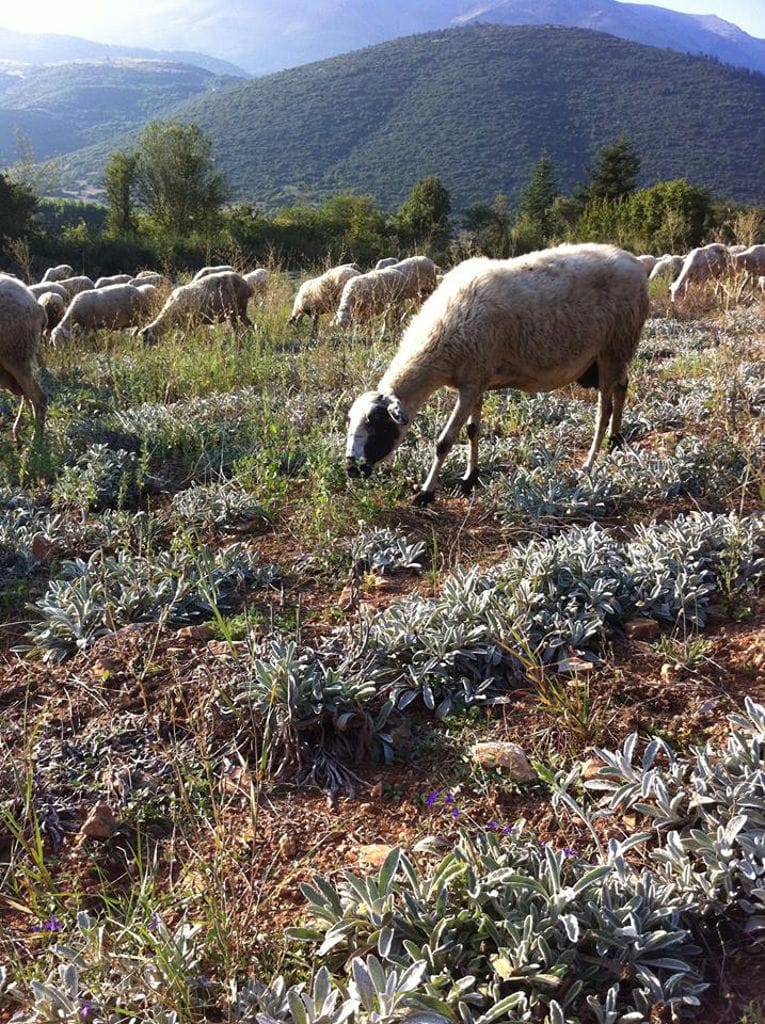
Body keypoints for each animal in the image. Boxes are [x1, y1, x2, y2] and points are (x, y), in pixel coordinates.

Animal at [344, 244, 651, 507]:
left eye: (378, 424)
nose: (350, 469)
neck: (440, 338)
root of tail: (633, 262)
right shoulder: (477, 380)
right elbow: (473, 430)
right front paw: (470, 478)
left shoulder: (470, 385)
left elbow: (444, 442)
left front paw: (425, 493)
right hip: (613, 354)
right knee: (622, 386)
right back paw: (615, 440)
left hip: (613, 346)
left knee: (603, 411)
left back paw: (589, 464)